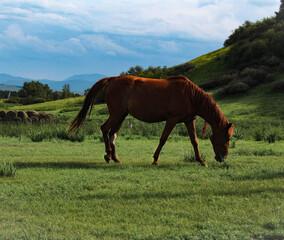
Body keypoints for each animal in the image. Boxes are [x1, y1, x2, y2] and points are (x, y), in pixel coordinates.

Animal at [69, 75, 233, 167]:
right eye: (227, 138)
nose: (223, 158)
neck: (190, 95)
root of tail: (112, 79)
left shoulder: (188, 121)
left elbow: (194, 141)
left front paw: (201, 161)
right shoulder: (172, 120)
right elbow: (163, 139)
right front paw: (155, 160)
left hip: (121, 115)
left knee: (112, 134)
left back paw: (115, 158)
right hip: (116, 113)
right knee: (105, 129)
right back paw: (108, 156)